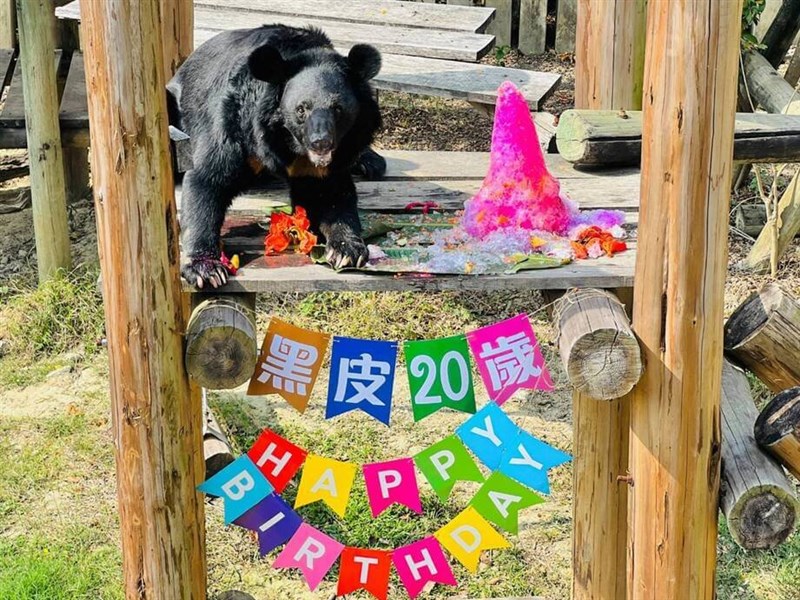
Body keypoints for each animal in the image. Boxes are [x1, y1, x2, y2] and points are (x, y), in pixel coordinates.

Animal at [167, 23, 386, 286]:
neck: (289, 144)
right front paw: (205, 270)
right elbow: (208, 178)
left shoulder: (327, 160)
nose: (321, 143)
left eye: (338, 109)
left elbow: (330, 192)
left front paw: (347, 249)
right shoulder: (235, 123)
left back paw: (370, 161)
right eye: (301, 109)